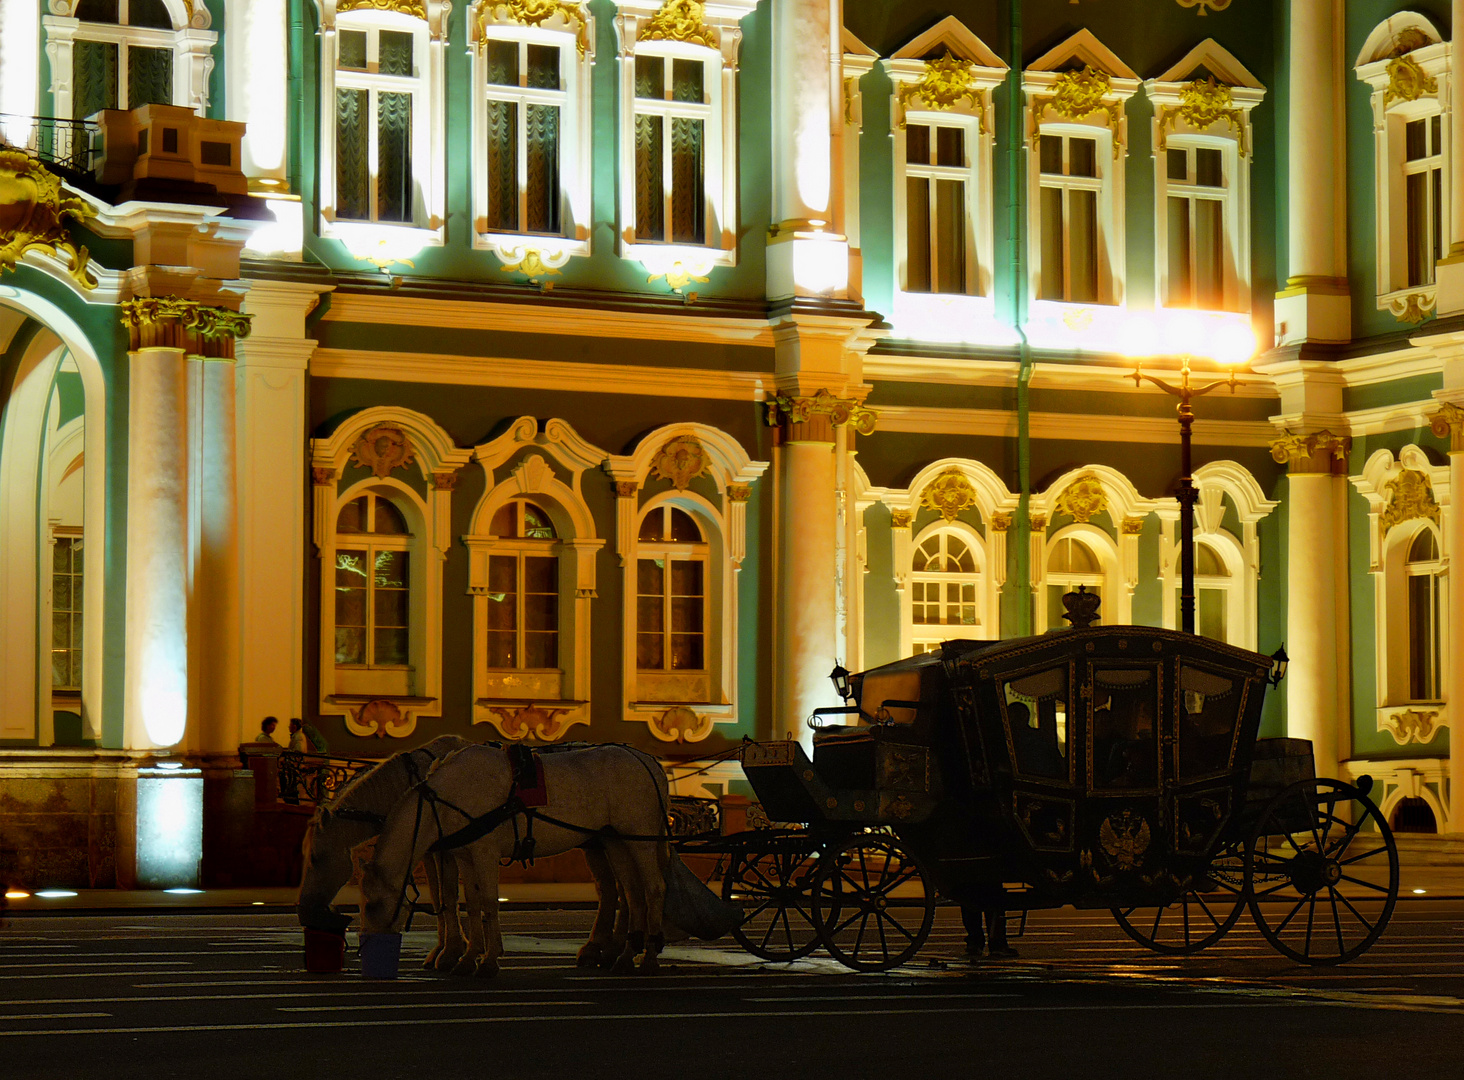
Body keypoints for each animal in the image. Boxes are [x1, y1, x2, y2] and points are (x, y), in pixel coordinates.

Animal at [360, 740, 670, 977]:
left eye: (373, 905)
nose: (369, 947)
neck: (449, 796)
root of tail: (647, 761)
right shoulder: (466, 855)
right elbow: (472, 903)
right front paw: (468, 958)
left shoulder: (485, 852)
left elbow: (488, 902)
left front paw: (488, 960)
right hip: (613, 841)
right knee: (632, 894)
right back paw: (624, 957)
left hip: (639, 840)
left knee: (653, 890)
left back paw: (649, 959)